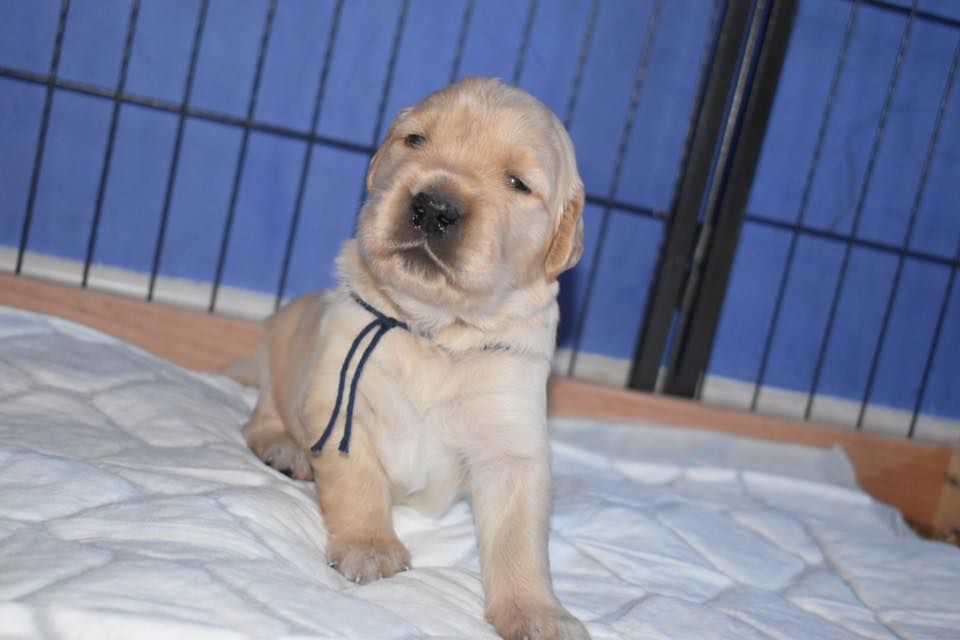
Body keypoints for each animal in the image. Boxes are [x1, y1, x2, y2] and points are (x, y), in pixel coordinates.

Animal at [244, 78, 588, 640]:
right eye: (416, 140)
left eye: (518, 182)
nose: (434, 207)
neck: (436, 333)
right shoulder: (340, 396)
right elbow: (357, 480)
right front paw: (369, 547)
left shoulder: (511, 439)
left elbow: (521, 538)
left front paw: (537, 612)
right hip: (281, 349)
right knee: (263, 417)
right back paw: (286, 450)